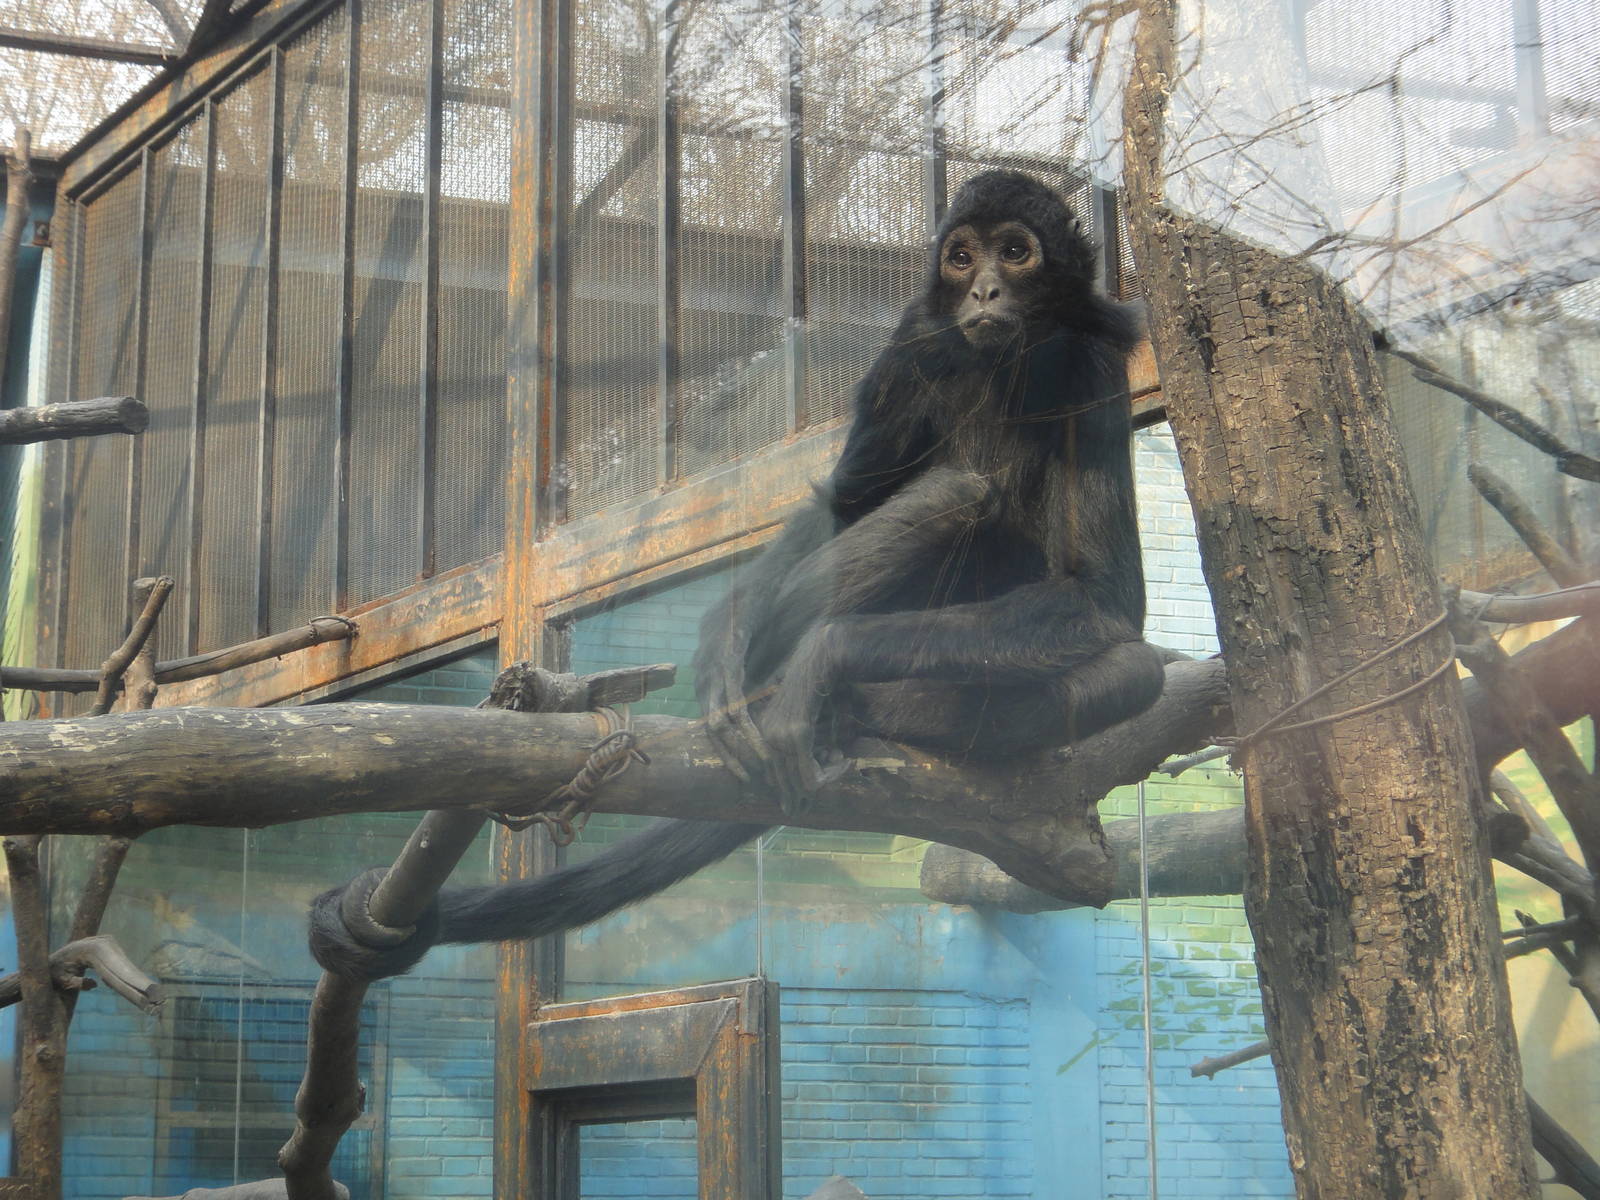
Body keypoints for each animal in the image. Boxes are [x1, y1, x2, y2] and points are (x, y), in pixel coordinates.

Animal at [309, 170, 1164, 982]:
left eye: (1015, 253)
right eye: (962, 258)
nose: (984, 290)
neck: (1000, 359)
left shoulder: (1095, 357)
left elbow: (1106, 603)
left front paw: (829, 657)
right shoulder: (915, 340)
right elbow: (843, 499)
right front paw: (726, 645)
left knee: (1130, 665)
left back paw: (871, 706)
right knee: (953, 494)